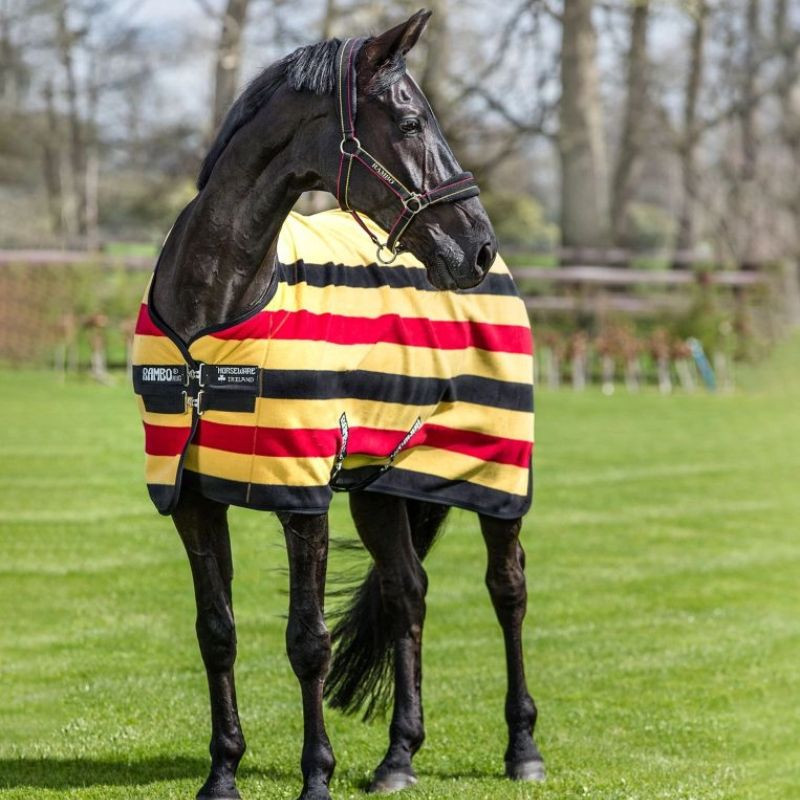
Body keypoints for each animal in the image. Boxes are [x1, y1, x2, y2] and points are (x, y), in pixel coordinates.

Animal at [131, 11, 543, 800]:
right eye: (410, 121)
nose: (476, 247)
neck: (217, 308)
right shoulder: (192, 496)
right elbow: (217, 631)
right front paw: (222, 772)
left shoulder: (303, 501)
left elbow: (308, 641)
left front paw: (315, 775)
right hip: (382, 485)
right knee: (408, 591)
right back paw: (398, 758)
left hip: (497, 473)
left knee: (507, 588)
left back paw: (523, 748)